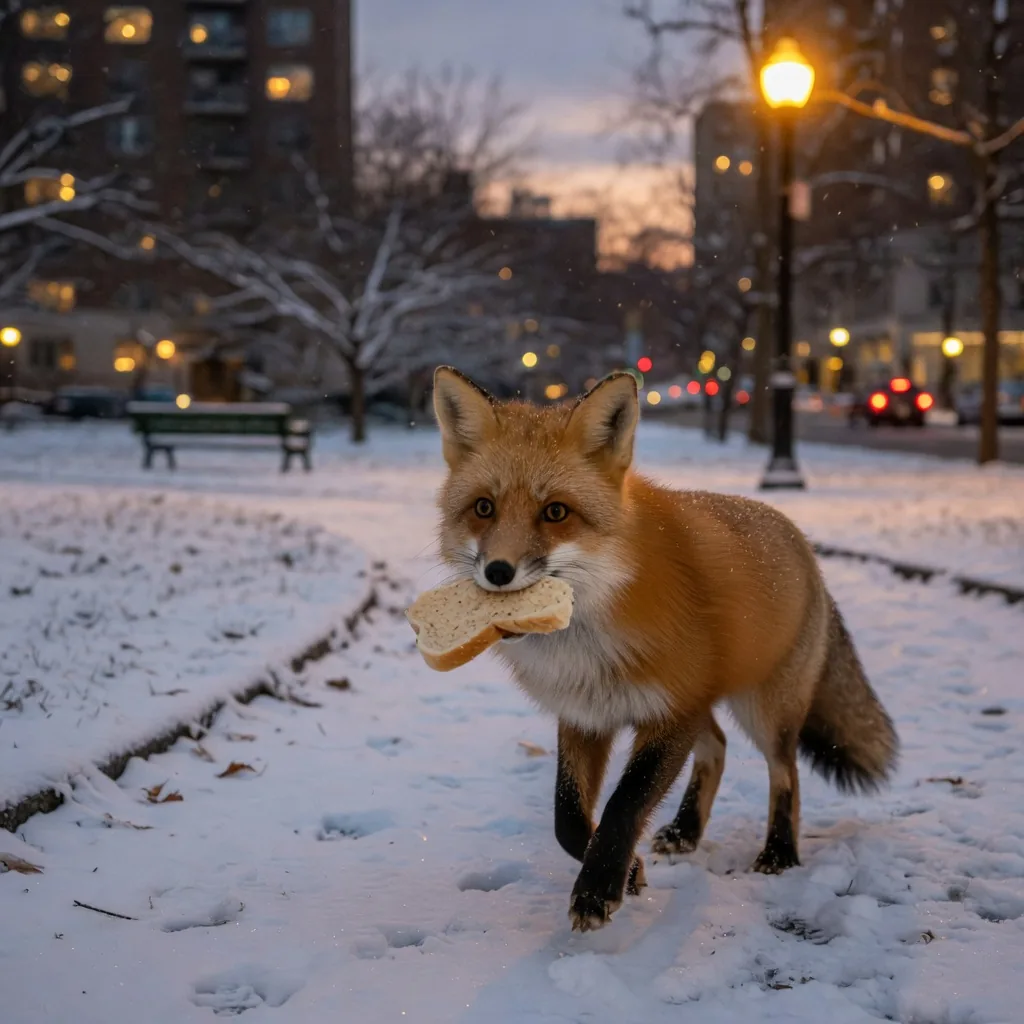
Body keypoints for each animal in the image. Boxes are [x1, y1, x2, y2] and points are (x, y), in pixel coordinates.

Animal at [432, 365, 899, 932]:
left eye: (556, 512)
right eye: (484, 508)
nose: (498, 573)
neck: (590, 641)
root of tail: (801, 541)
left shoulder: (671, 712)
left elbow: (624, 805)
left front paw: (597, 888)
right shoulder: (586, 714)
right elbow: (569, 819)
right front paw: (627, 871)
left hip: (765, 709)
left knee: (784, 771)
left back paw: (779, 852)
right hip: (708, 706)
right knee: (718, 748)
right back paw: (685, 832)